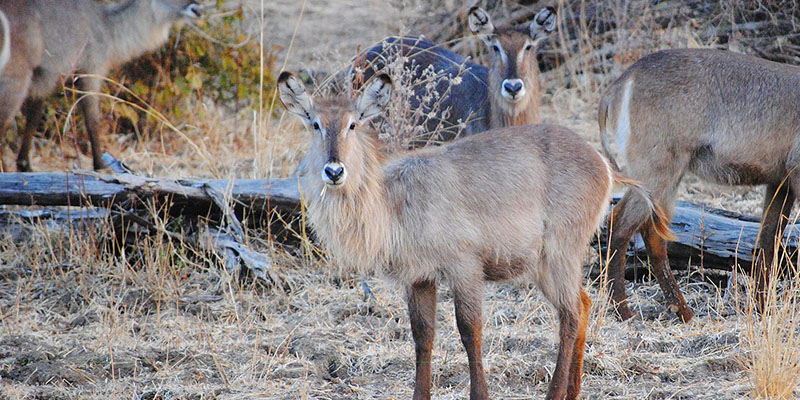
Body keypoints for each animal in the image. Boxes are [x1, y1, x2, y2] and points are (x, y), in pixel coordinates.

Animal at [0, 0, 200, 170]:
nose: (198, 9)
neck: (107, 26)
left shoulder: (44, 77)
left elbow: (34, 116)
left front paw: (24, 165)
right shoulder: (90, 68)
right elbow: (91, 118)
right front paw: (101, 164)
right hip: (16, 77)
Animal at [278, 70, 672, 398]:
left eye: (353, 124)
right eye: (314, 124)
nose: (334, 171)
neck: (392, 204)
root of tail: (603, 164)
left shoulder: (464, 267)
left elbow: (470, 331)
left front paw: (479, 393)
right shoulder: (419, 278)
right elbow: (423, 337)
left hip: (559, 251)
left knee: (571, 313)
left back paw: (555, 393)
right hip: (546, 263)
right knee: (584, 303)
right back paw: (573, 391)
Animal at [596, 47, 800, 322]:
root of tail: (625, 78)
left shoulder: (780, 182)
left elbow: (769, 240)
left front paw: (761, 308)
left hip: (668, 177)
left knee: (651, 233)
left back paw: (681, 310)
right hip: (657, 172)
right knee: (621, 223)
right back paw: (625, 310)